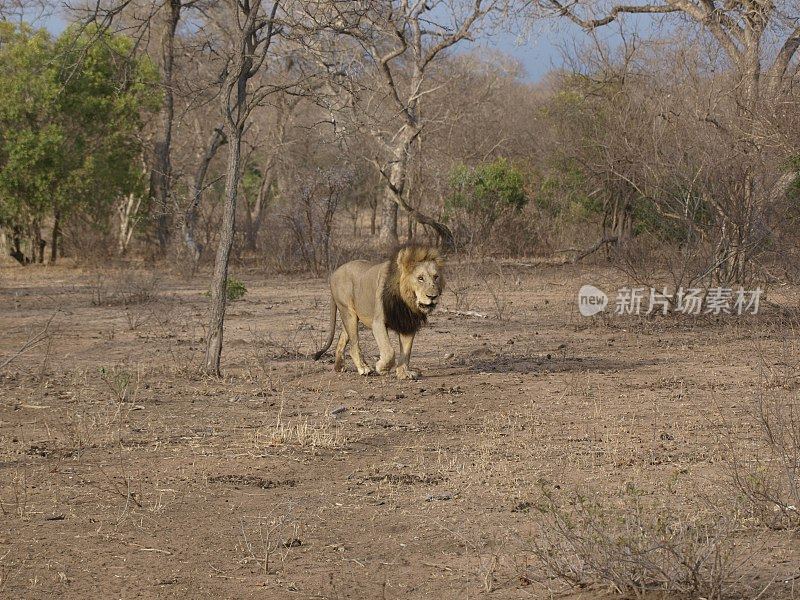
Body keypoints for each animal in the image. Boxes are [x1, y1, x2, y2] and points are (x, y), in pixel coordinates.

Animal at [314, 245, 444, 380]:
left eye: (436, 277)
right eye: (420, 278)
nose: (433, 296)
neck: (405, 301)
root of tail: (334, 273)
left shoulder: (407, 324)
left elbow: (406, 351)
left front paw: (403, 373)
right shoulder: (378, 323)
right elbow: (389, 352)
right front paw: (382, 368)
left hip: (352, 316)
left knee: (342, 337)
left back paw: (339, 366)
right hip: (348, 312)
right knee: (354, 344)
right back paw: (364, 368)